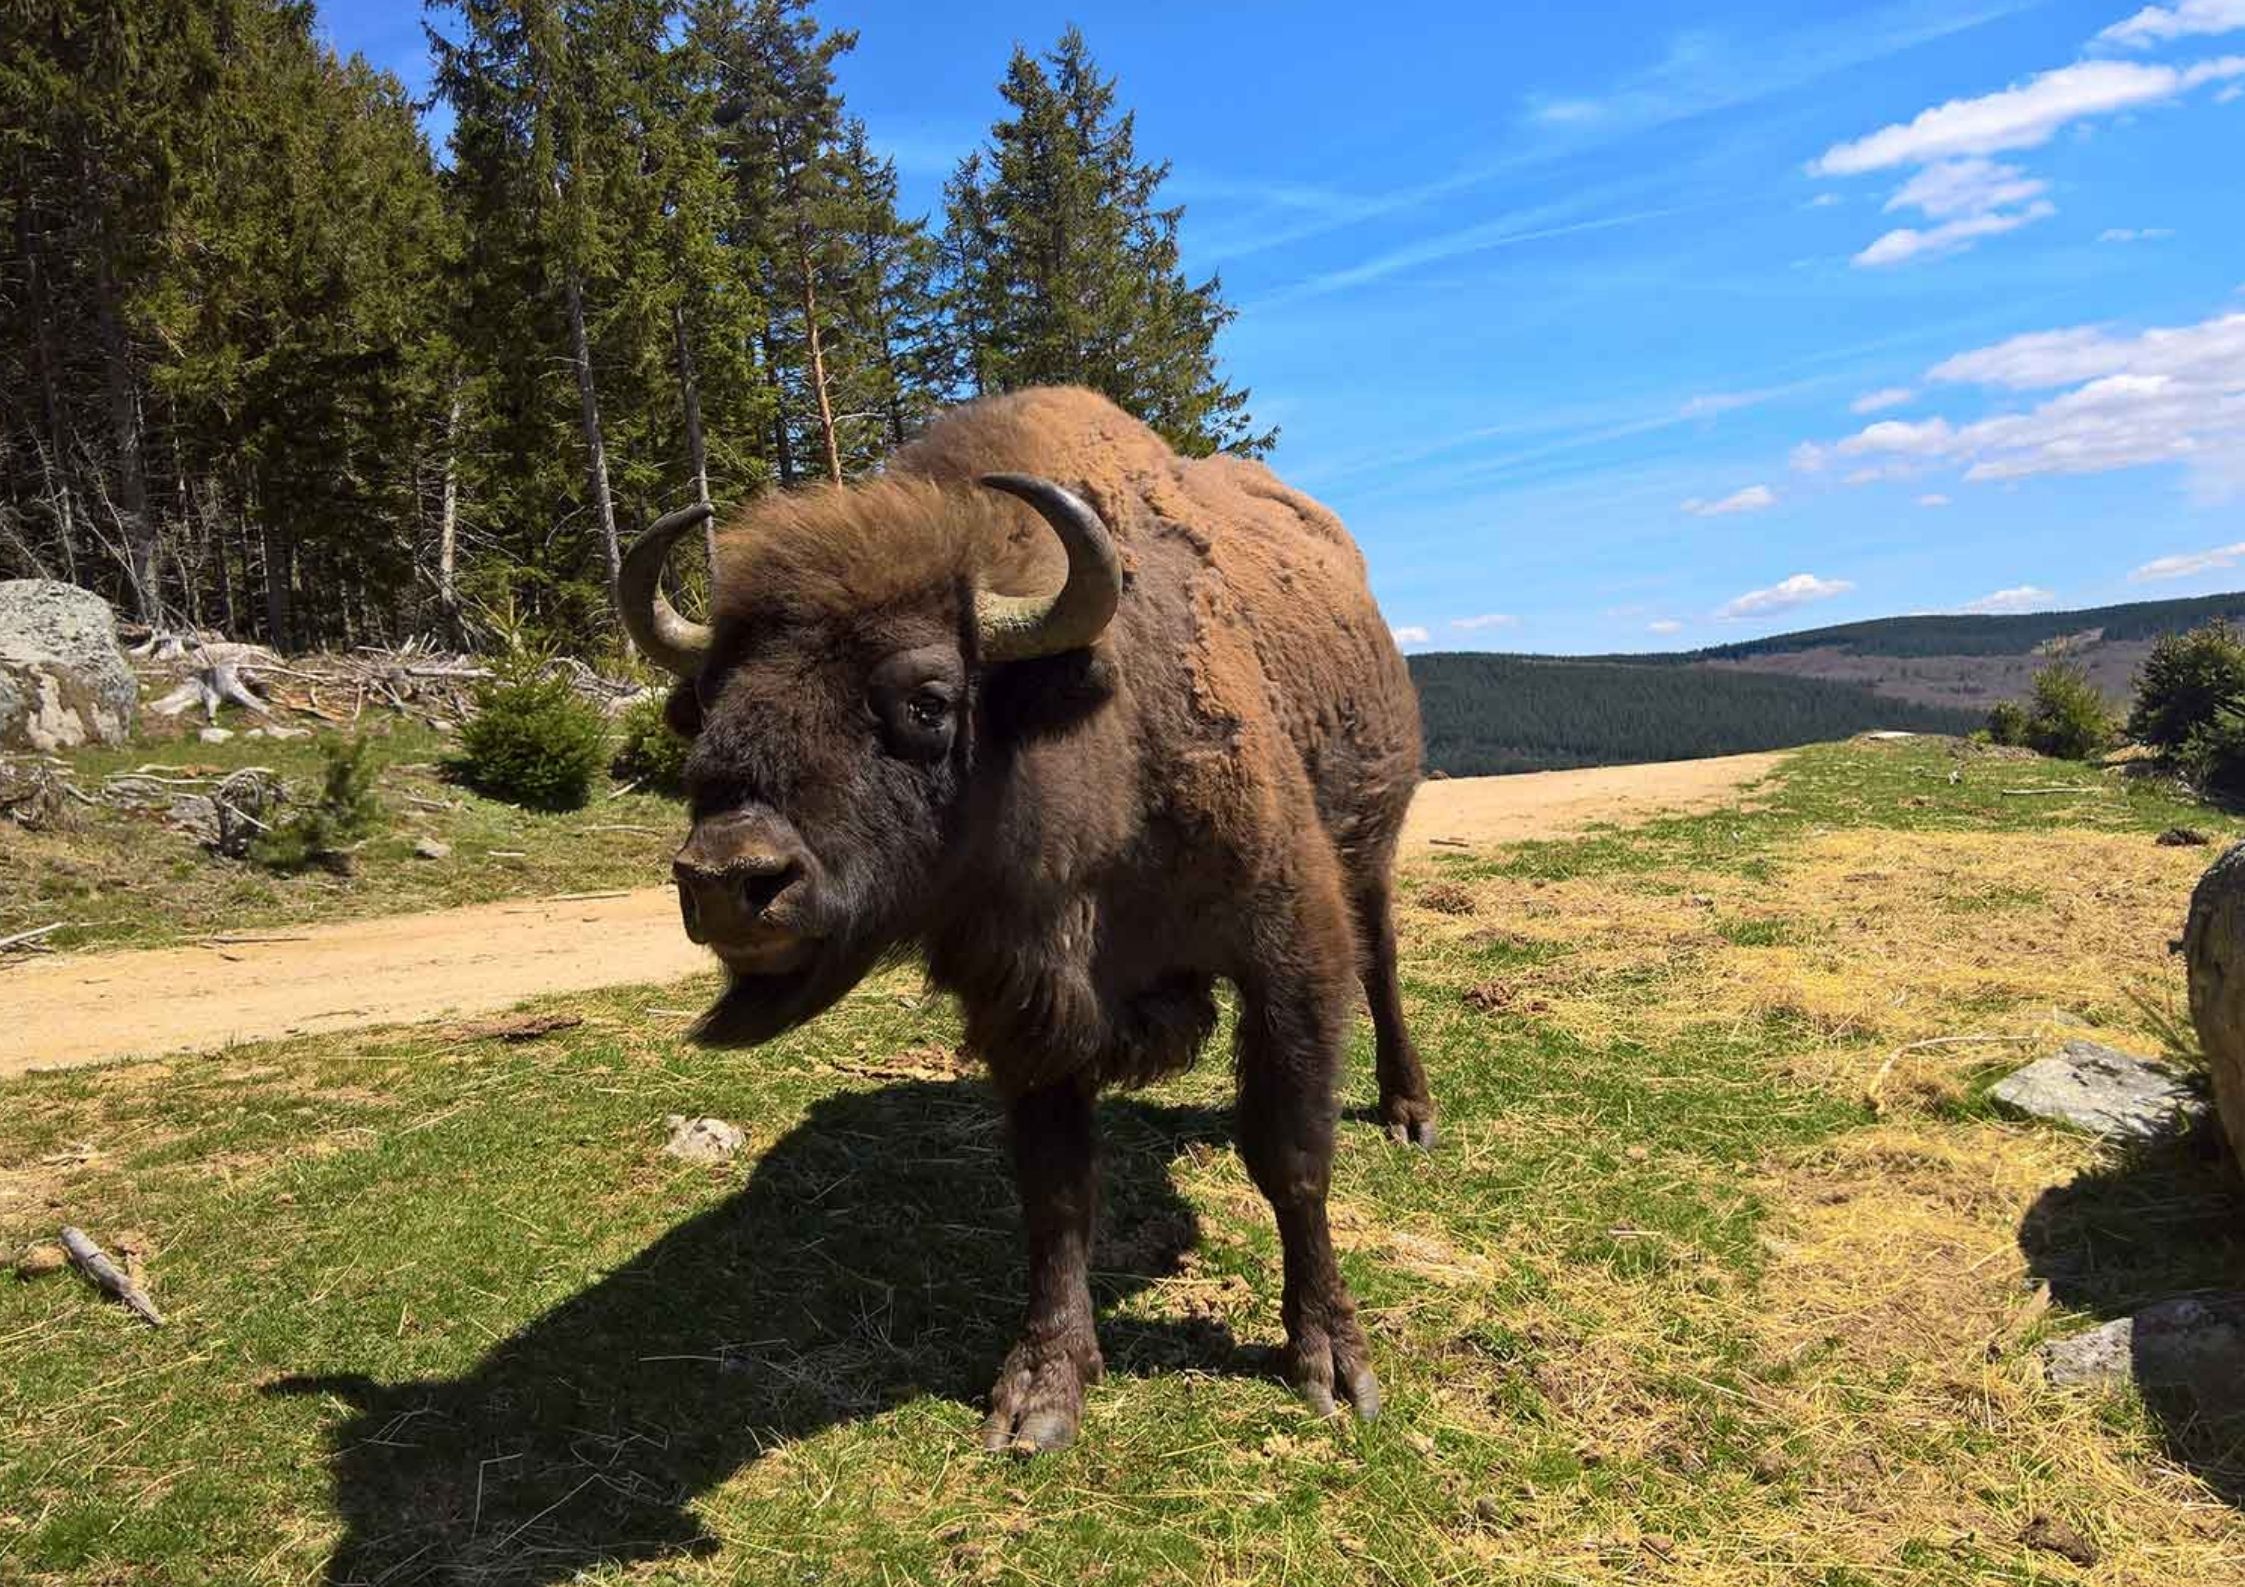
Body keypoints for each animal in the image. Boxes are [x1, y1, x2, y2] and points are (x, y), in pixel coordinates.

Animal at [619, 383, 1418, 1454]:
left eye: (927, 699)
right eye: (706, 703)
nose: (726, 876)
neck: (1086, 731)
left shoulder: (1288, 948)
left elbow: (1289, 1153)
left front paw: (1330, 1360)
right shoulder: (1028, 1008)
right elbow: (1056, 1189)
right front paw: (1041, 1388)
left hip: (1368, 852)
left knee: (1383, 966)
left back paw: (1409, 1112)